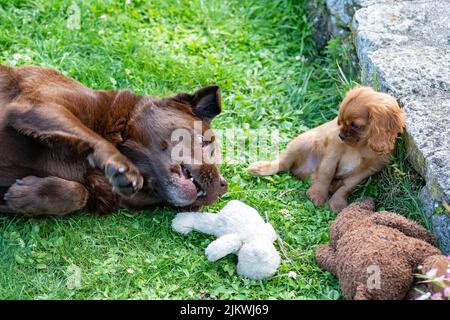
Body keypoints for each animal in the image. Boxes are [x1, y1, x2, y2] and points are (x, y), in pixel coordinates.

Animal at [0, 63, 225, 216]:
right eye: (205, 142)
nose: (224, 186)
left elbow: (80, 193)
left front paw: (23, 198)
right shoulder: (39, 105)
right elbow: (93, 138)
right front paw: (123, 169)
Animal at [248, 87, 406, 212]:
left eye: (355, 126)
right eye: (340, 121)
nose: (341, 135)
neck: (360, 146)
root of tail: (302, 172)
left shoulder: (367, 169)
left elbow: (348, 186)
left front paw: (337, 202)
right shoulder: (333, 152)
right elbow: (326, 173)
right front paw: (318, 195)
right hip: (301, 142)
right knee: (282, 163)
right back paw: (261, 168)